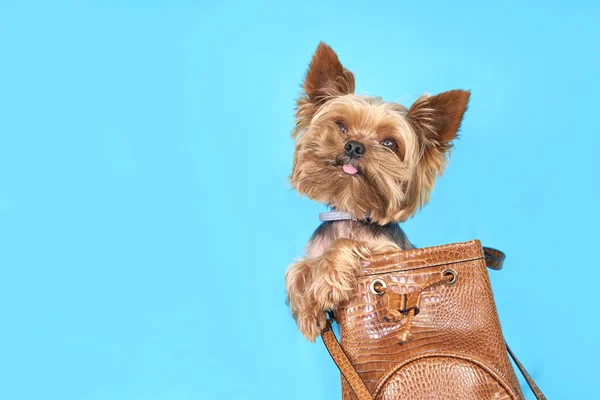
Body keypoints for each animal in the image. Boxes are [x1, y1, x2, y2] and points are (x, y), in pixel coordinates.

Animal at [284, 42, 472, 340]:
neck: (349, 212)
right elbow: (295, 268)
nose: (354, 146)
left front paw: (327, 282)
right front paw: (307, 310)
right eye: (340, 125)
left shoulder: (389, 254)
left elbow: (345, 243)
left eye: (389, 143)